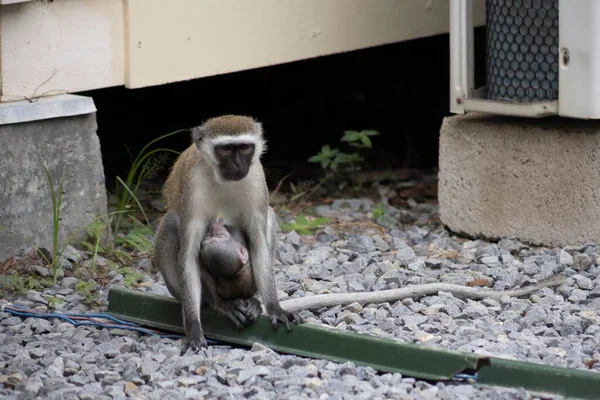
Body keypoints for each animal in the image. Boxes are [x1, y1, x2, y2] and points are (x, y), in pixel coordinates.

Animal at [152, 115, 302, 354]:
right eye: (225, 149)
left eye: (244, 147)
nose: (238, 164)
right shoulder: (193, 187)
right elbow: (189, 253)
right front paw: (193, 326)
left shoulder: (257, 178)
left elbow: (258, 242)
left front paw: (274, 308)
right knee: (172, 223)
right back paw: (220, 303)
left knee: (269, 215)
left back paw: (252, 301)